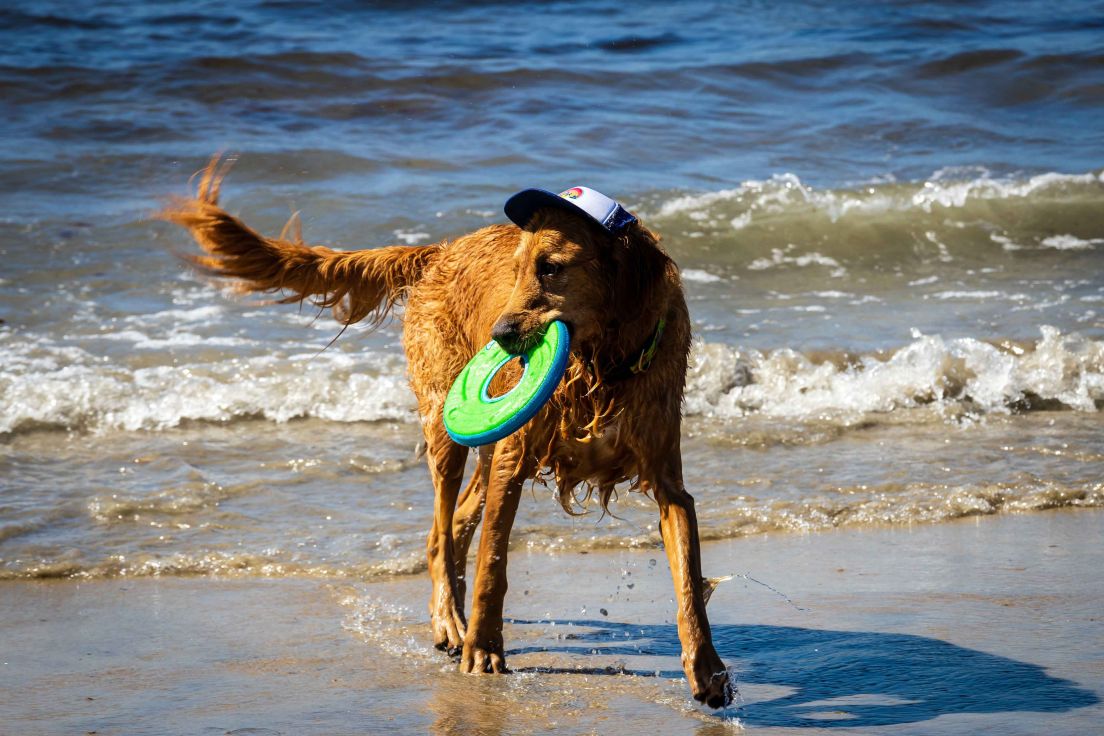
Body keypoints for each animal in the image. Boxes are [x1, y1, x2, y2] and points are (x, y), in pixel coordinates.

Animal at [161, 155, 733, 706]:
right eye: (518, 270)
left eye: (552, 269)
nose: (500, 336)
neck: (602, 369)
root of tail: (440, 251)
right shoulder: (512, 463)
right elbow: (493, 565)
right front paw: (483, 649)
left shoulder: (668, 482)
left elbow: (687, 577)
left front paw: (707, 670)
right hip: (445, 430)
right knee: (439, 530)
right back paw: (450, 623)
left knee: (454, 524)